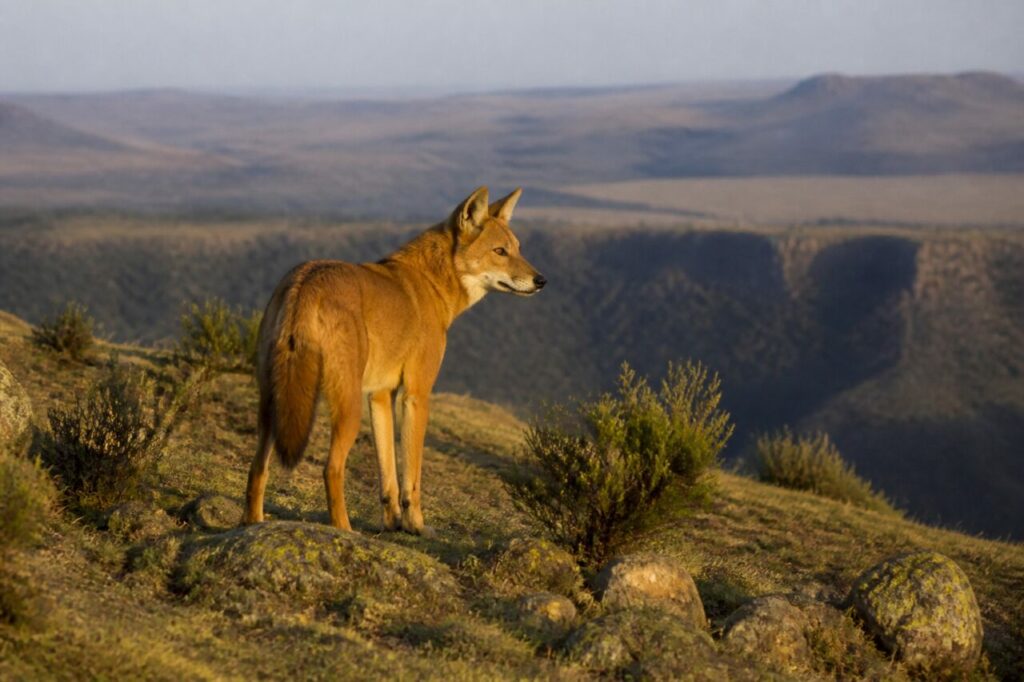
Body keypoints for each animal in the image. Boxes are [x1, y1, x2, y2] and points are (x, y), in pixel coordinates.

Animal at [243, 186, 545, 534]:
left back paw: (252, 523)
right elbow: (411, 476)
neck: (432, 285)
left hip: (272, 405)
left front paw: (393, 522)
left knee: (257, 467)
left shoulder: (380, 395)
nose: (541, 280)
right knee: (331, 468)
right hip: (347, 409)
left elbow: (387, 474)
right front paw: (416, 525)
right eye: (500, 251)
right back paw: (345, 531)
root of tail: (305, 280)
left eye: (518, 249)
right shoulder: (416, 395)